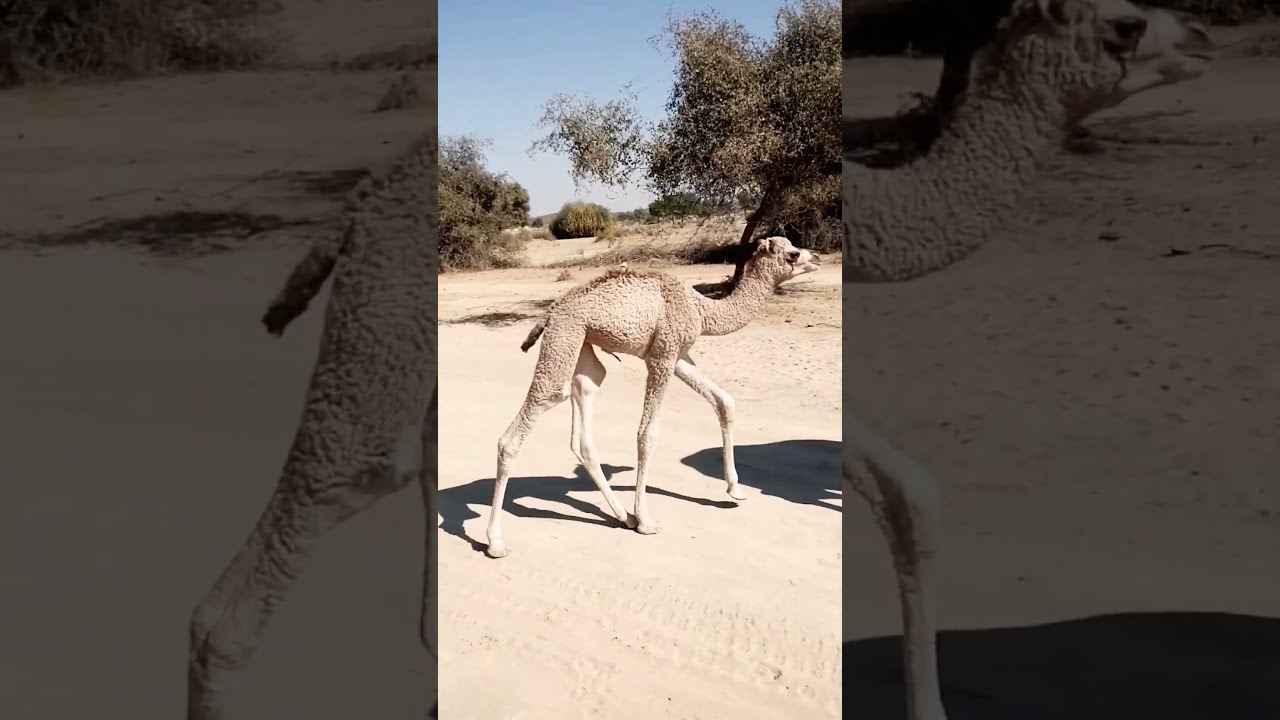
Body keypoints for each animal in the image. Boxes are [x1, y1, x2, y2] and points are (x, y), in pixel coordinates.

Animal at [485, 237, 821, 558]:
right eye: (792, 254)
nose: (816, 258)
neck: (700, 309)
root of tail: (549, 312)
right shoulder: (662, 355)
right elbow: (648, 434)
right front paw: (647, 520)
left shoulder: (678, 354)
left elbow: (724, 401)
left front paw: (735, 489)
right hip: (563, 337)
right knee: (524, 423)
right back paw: (495, 542)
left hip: (581, 343)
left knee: (584, 406)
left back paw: (623, 516)